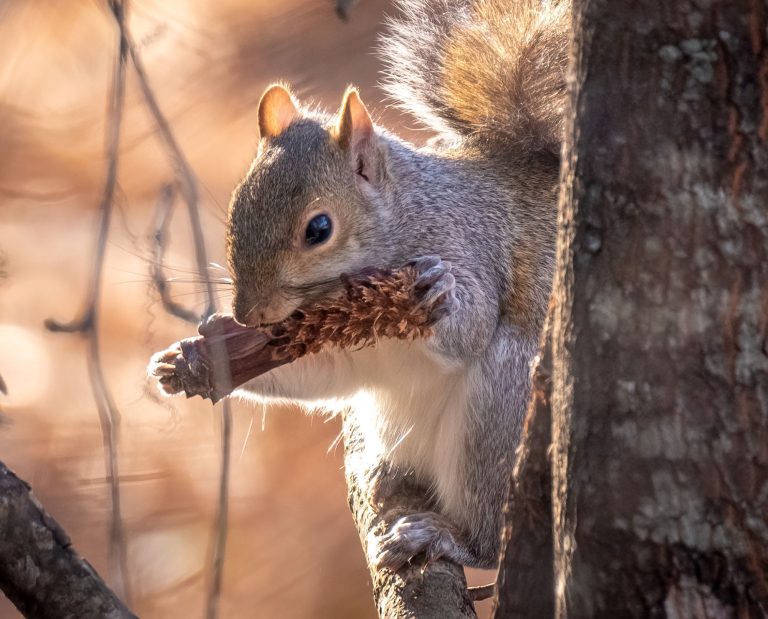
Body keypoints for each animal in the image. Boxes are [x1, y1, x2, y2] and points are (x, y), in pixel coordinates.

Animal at [194, 0, 567, 571]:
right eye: (237, 207)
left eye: (318, 229)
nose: (247, 315)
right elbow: (319, 373)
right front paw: (203, 353)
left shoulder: (470, 246)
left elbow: (473, 324)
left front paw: (440, 297)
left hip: (503, 413)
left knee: (488, 541)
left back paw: (446, 538)